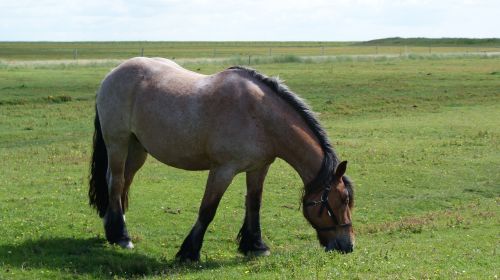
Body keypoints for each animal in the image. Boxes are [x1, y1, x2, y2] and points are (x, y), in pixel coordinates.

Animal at [90, 57, 356, 262]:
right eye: (342, 200)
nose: (348, 245)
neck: (259, 116)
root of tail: (113, 73)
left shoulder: (259, 168)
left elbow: (254, 204)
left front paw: (255, 246)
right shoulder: (223, 170)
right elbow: (208, 209)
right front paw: (189, 252)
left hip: (137, 149)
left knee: (123, 182)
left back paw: (113, 226)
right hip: (118, 142)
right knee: (115, 181)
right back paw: (121, 236)